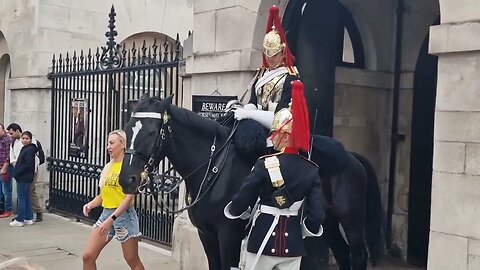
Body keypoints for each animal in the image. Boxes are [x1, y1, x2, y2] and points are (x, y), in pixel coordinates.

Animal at [120, 94, 382, 268]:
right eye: (127, 127)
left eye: (152, 132)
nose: (126, 179)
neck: (214, 166)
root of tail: (351, 156)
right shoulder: (207, 235)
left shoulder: (229, 235)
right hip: (326, 221)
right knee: (342, 253)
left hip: (351, 220)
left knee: (358, 254)